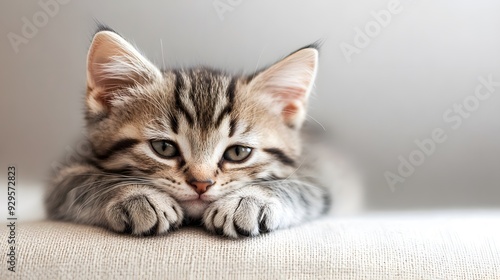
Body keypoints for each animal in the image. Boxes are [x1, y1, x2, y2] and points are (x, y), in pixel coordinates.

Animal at [45, 27, 364, 237]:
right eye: (164, 148)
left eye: (238, 152)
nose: (201, 184)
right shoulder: (64, 175)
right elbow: (84, 182)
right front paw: (137, 196)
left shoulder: (316, 178)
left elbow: (294, 187)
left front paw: (249, 200)